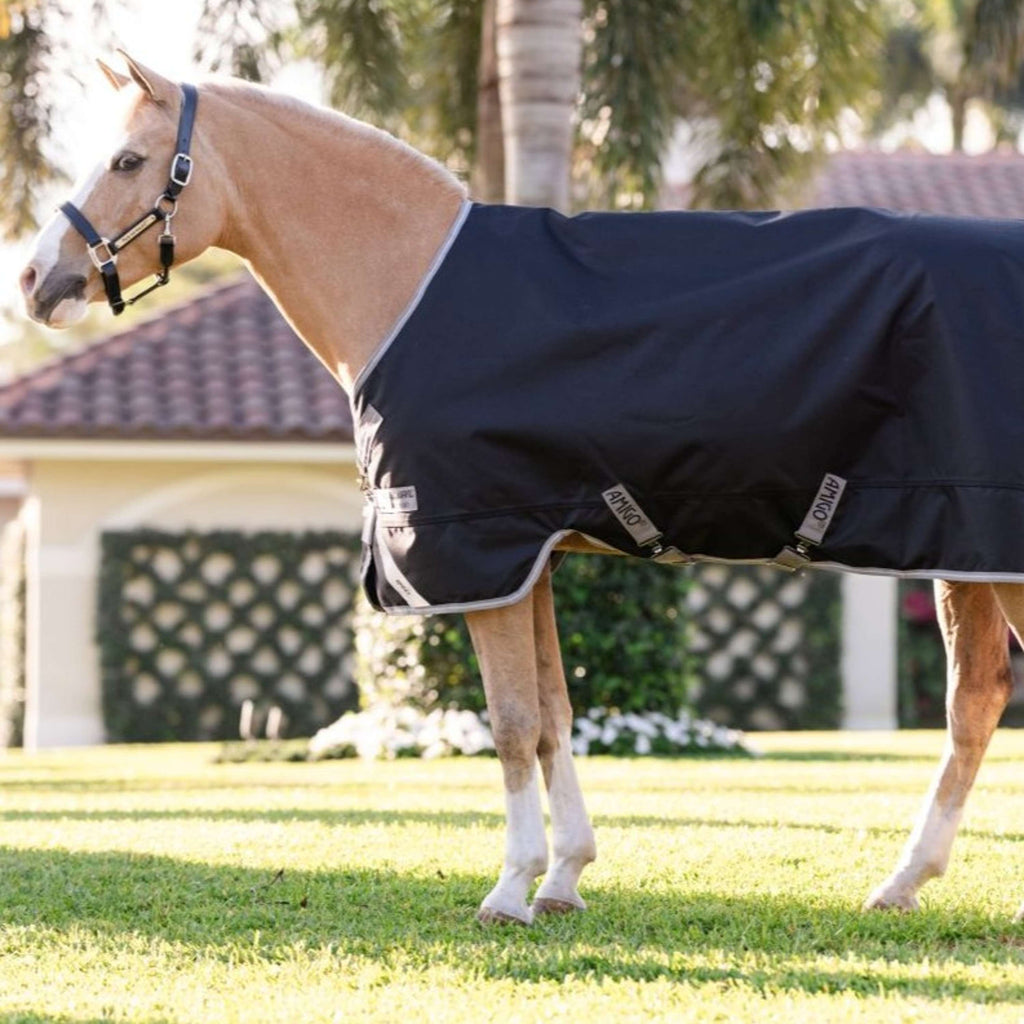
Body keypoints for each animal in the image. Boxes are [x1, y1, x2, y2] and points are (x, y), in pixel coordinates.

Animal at [19, 52, 1024, 926]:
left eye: (128, 160)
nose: (33, 280)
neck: (408, 279)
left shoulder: (478, 549)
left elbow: (506, 724)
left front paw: (509, 890)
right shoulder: (528, 556)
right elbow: (551, 716)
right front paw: (566, 878)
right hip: (966, 557)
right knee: (973, 705)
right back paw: (902, 882)